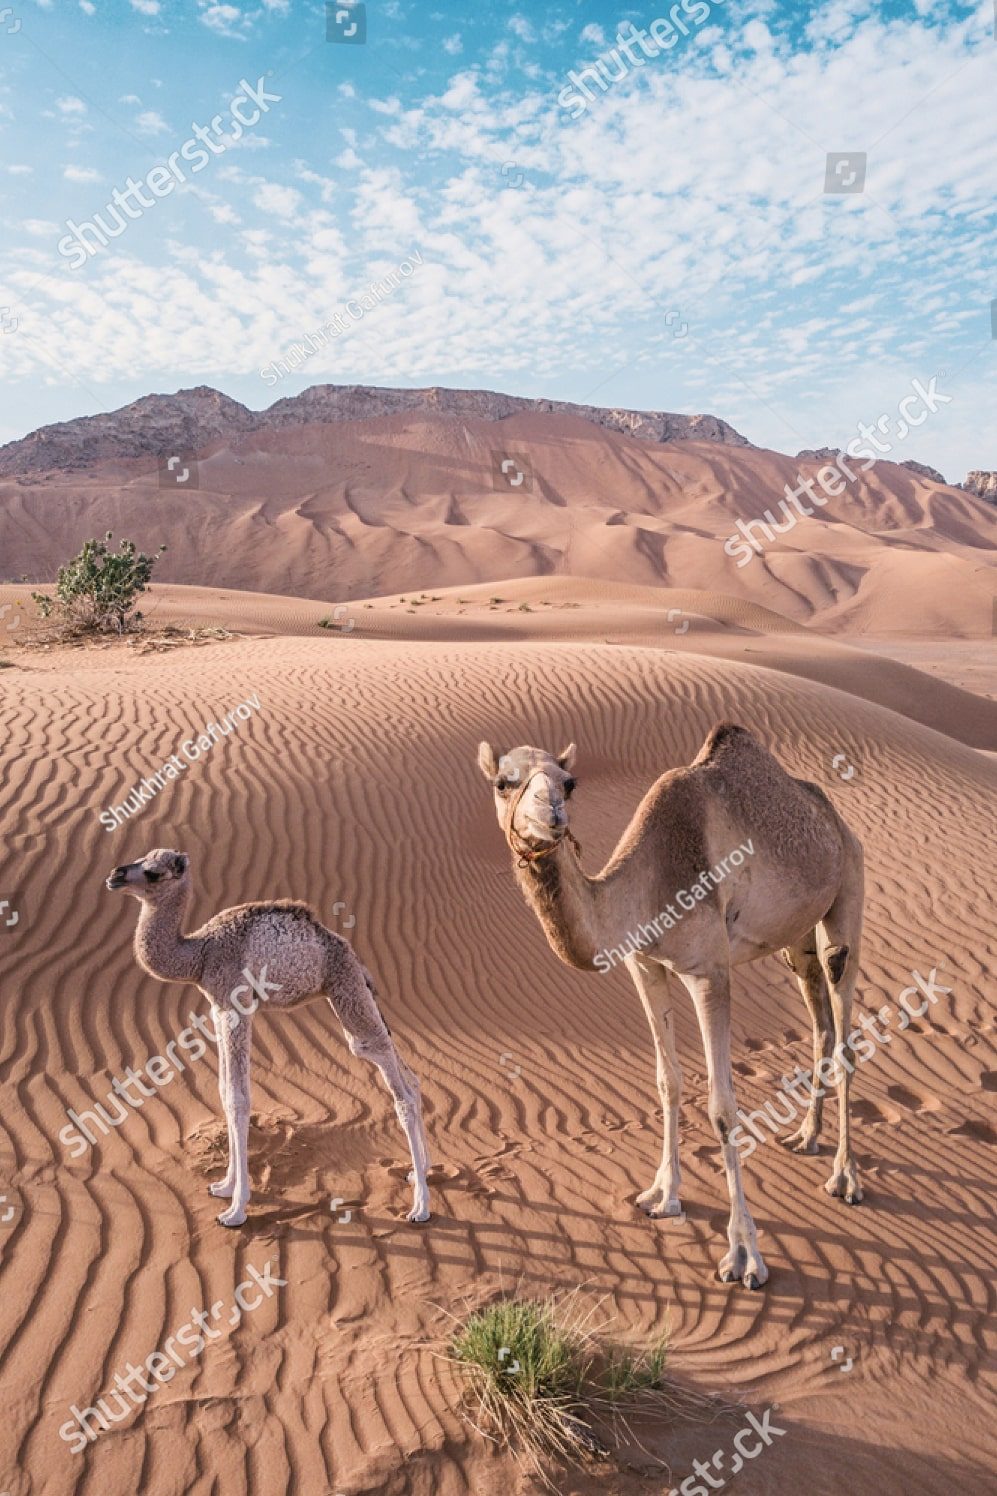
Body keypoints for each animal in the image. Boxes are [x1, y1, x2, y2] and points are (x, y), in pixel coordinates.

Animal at [106, 849, 431, 1228]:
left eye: (154, 873)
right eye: (141, 858)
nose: (115, 875)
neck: (201, 953)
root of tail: (352, 955)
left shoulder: (236, 1005)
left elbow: (238, 1098)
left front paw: (236, 1209)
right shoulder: (218, 1007)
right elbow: (223, 1090)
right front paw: (224, 1185)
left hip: (346, 990)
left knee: (396, 1085)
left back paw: (420, 1207)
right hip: (355, 995)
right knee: (406, 1073)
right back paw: (420, 1171)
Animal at [477, 722, 864, 1289]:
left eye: (569, 783)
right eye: (504, 782)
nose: (552, 815)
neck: (645, 884)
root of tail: (839, 821)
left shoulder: (709, 971)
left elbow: (723, 1108)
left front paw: (744, 1255)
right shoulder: (645, 965)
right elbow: (668, 1081)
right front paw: (662, 1195)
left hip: (847, 897)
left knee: (845, 1031)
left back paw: (845, 1177)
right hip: (797, 941)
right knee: (822, 1026)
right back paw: (805, 1136)